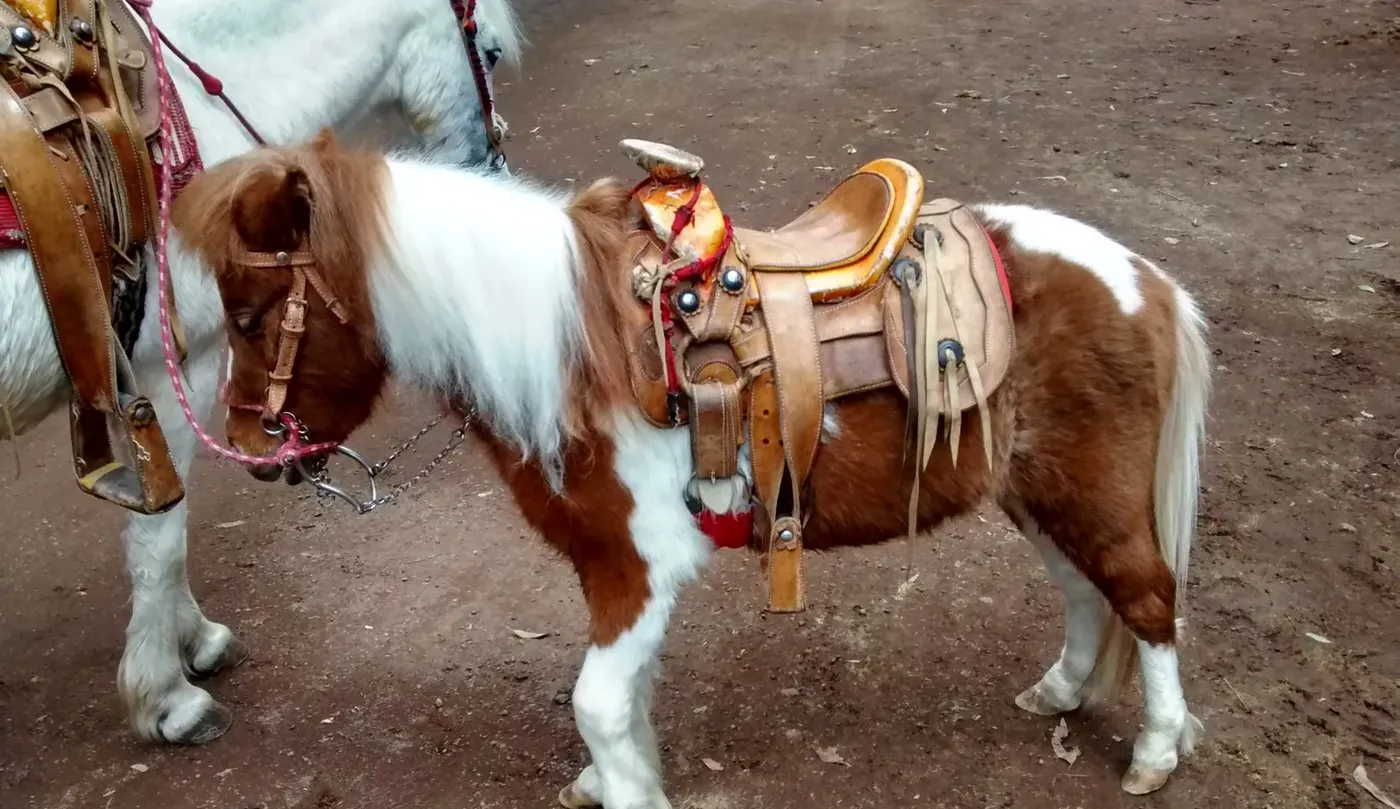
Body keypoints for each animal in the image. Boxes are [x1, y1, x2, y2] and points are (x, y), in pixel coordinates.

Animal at [0, 0, 522, 745]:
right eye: (493, 51)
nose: (492, 171)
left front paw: (193, 640)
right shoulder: (175, 370)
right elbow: (161, 534)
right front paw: (167, 697)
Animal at [178, 132, 1211, 806]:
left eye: (249, 315)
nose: (253, 452)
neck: (575, 345)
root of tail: (1145, 278)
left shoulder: (641, 566)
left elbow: (597, 702)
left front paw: (626, 785)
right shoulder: (610, 571)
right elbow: (621, 700)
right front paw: (612, 778)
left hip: (1094, 492)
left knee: (1148, 599)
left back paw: (1156, 751)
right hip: (1040, 492)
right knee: (1086, 593)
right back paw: (1062, 689)